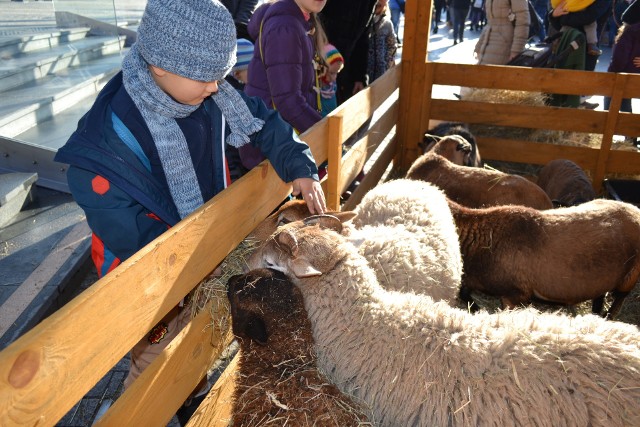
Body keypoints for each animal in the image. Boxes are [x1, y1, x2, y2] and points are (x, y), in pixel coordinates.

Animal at [450, 198, 640, 318]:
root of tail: (635, 209)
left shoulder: (514, 294)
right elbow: (464, 293)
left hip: (629, 277)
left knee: (619, 299)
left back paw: (606, 317)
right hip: (603, 277)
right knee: (600, 295)